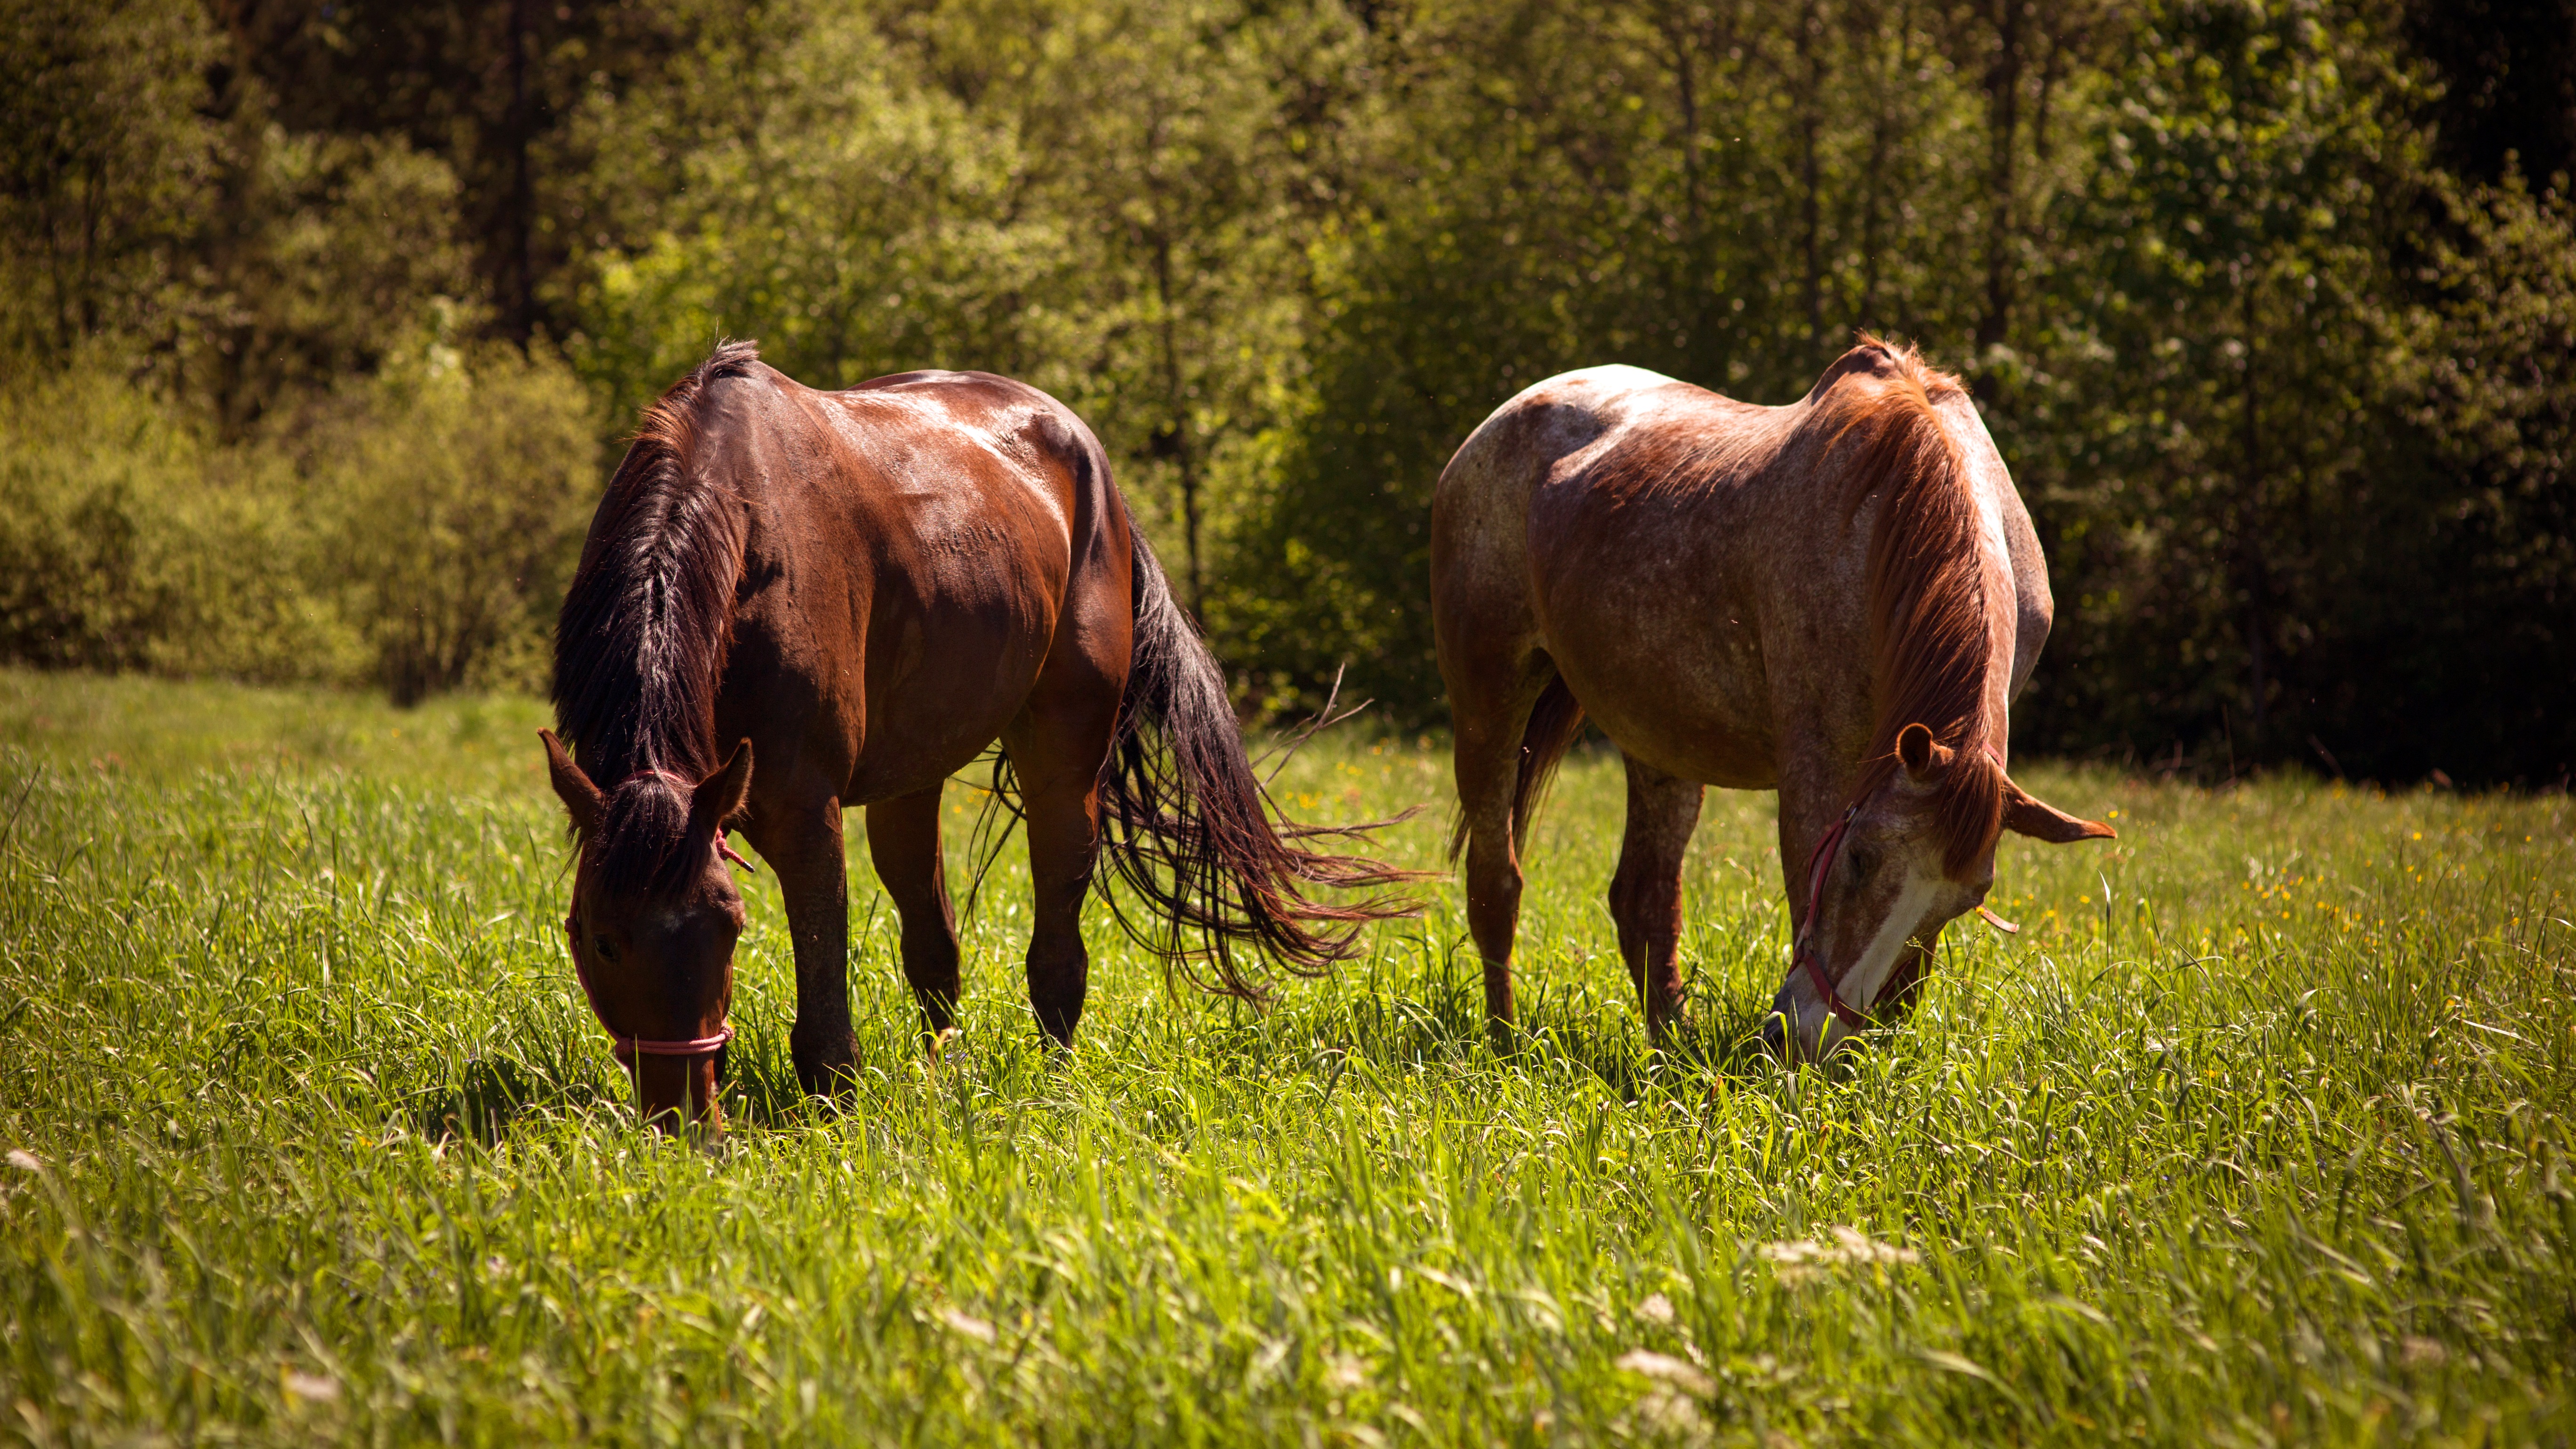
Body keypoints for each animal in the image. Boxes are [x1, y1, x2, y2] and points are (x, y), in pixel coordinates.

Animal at [546, 340, 1422, 1129]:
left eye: (728, 924)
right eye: (598, 937)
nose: (682, 1121)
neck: (738, 524)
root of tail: (1086, 453)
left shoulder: (803, 811)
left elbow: (825, 1008)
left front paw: (834, 1120)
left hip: (1063, 765)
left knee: (1057, 955)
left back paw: (1053, 1085)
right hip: (911, 778)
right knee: (935, 949)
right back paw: (946, 1075)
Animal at [1432, 340, 2112, 1062]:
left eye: (1964, 900)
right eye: (1860, 858)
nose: (1809, 1035)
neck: (1887, 523)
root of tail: (1500, 423)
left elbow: (1912, 974)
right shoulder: (1819, 768)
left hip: (1662, 741)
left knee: (1644, 900)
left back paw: (1671, 1049)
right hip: (1490, 705)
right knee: (1496, 884)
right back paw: (1504, 1044)